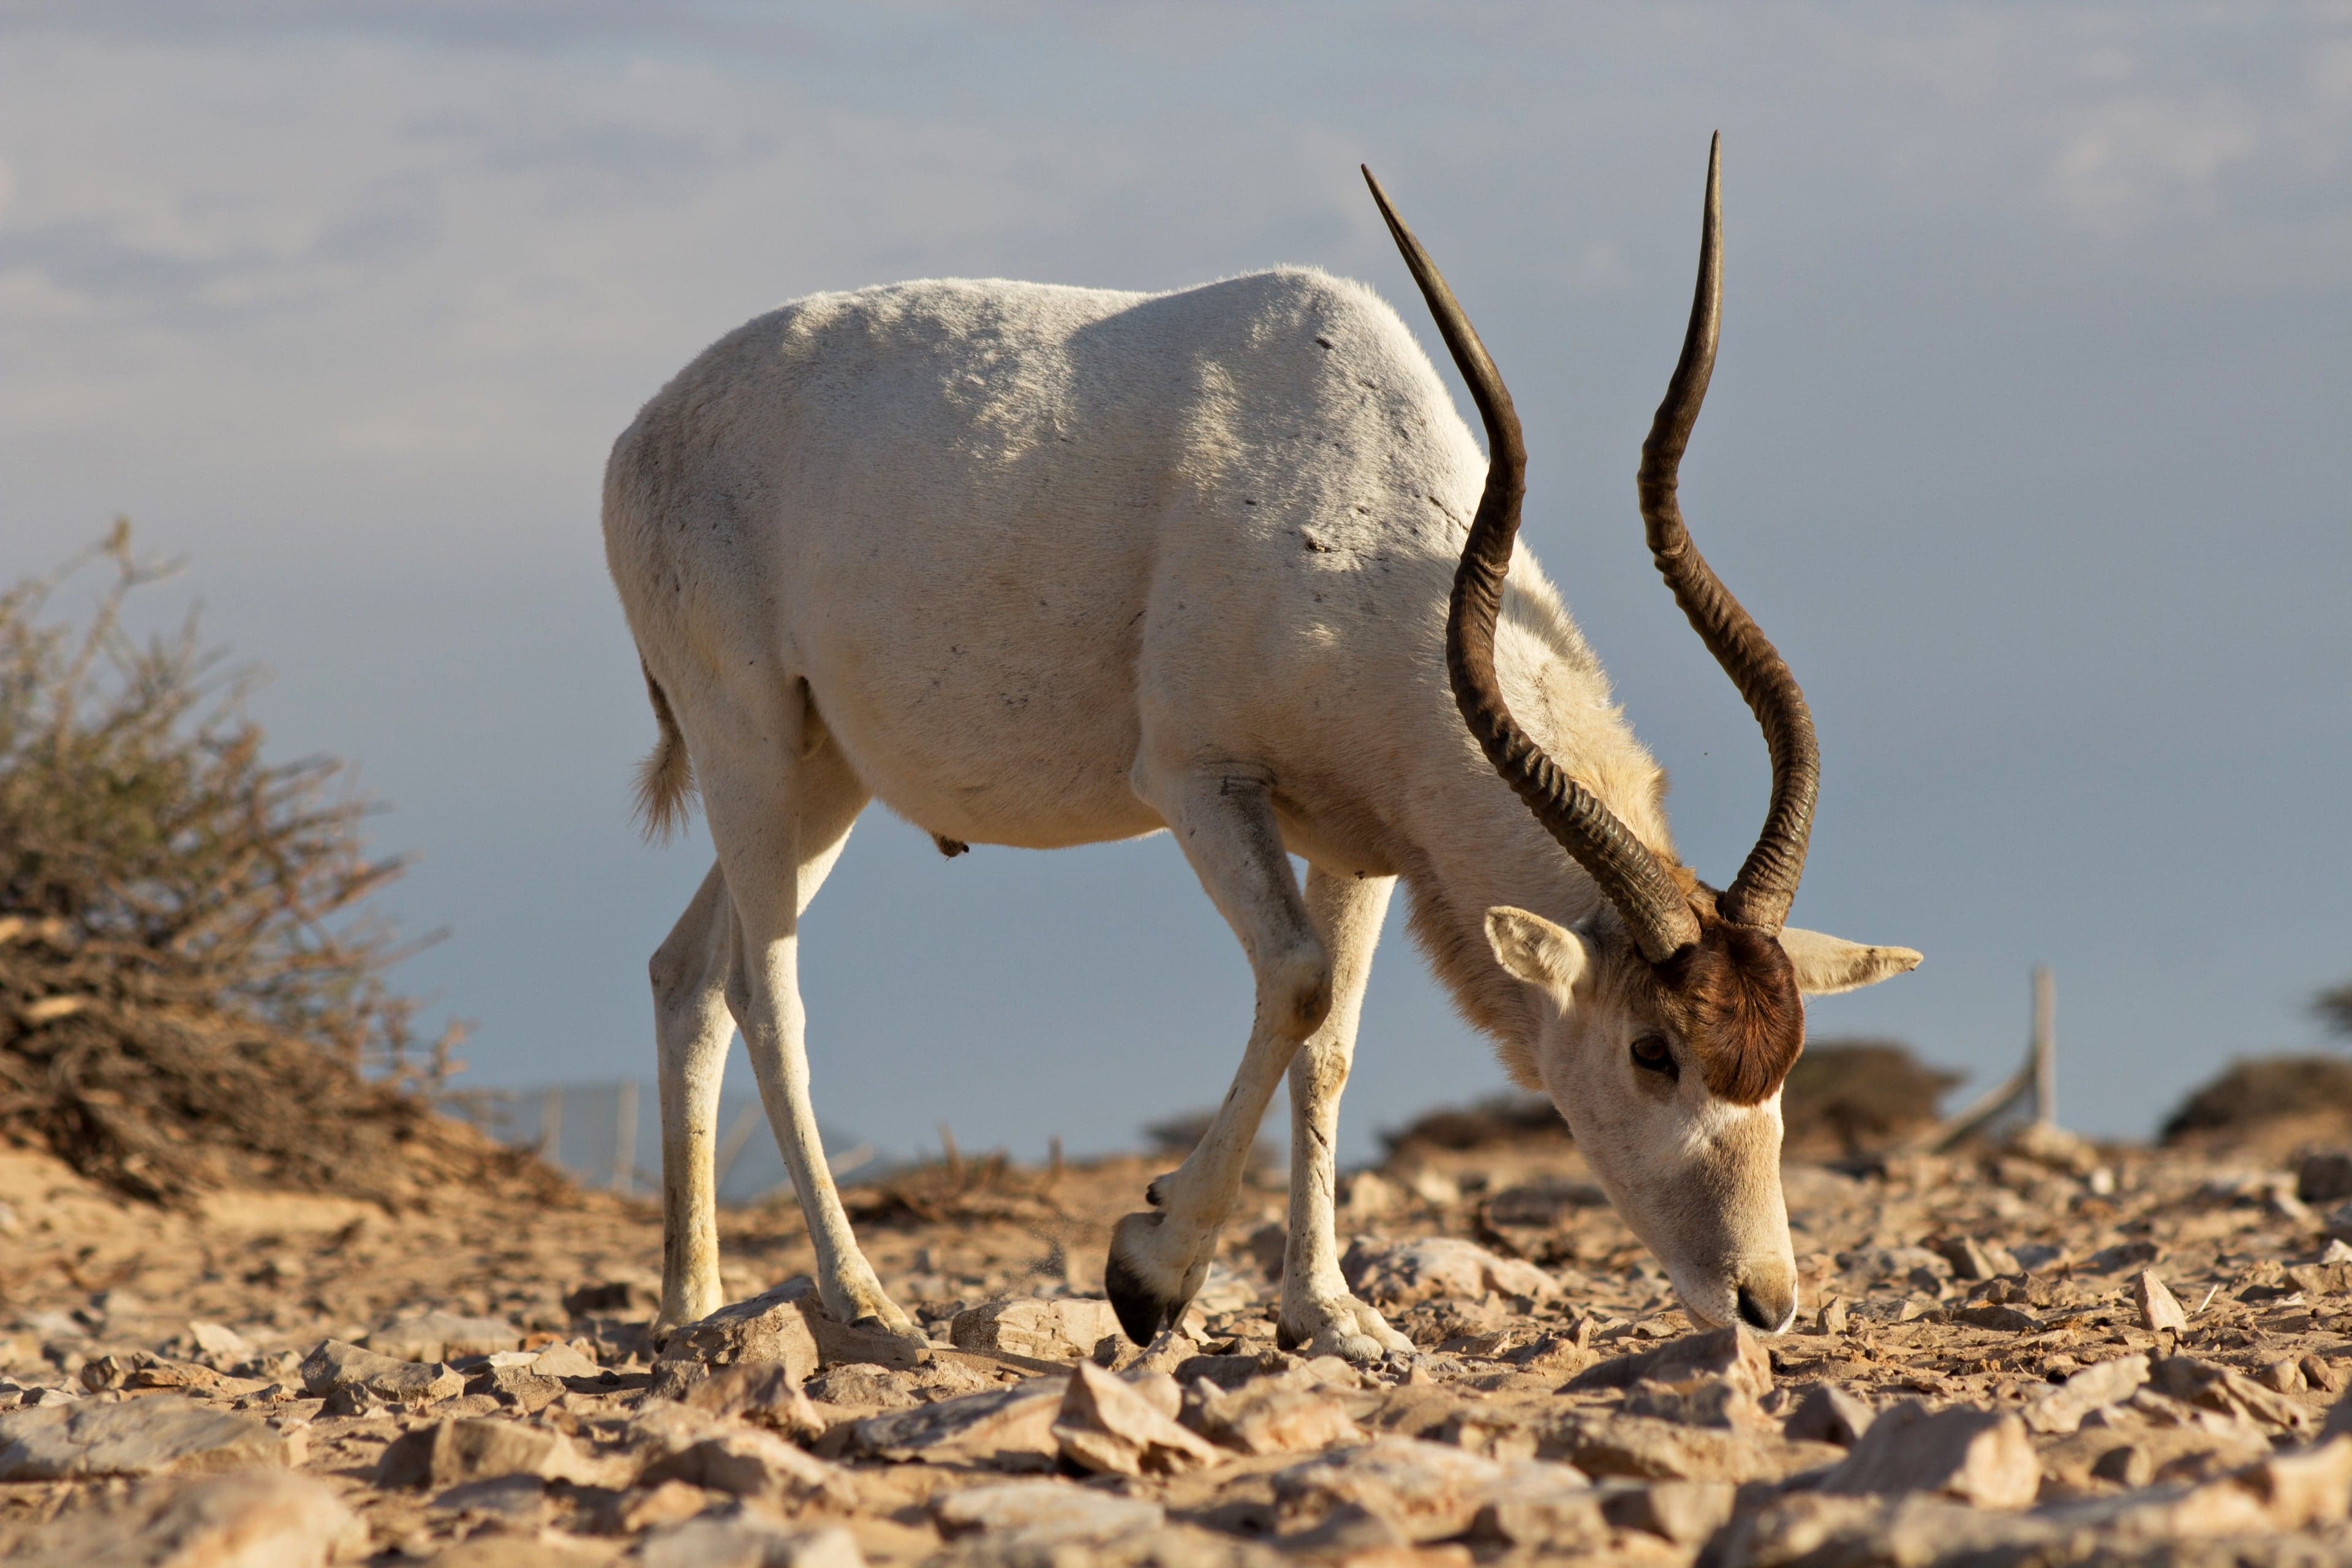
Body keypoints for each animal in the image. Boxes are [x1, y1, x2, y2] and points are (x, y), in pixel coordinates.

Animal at [604, 139, 1919, 1359]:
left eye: (1785, 1057)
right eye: (1653, 1050)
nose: (1764, 1301)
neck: (1356, 505)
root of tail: (644, 433)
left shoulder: (1362, 841)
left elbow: (1330, 1043)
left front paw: (1329, 1317)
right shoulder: (1199, 783)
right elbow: (1293, 982)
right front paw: (1151, 1272)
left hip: (825, 775)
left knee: (688, 973)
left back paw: (688, 1307)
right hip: (747, 737)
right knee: (766, 991)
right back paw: (863, 1303)